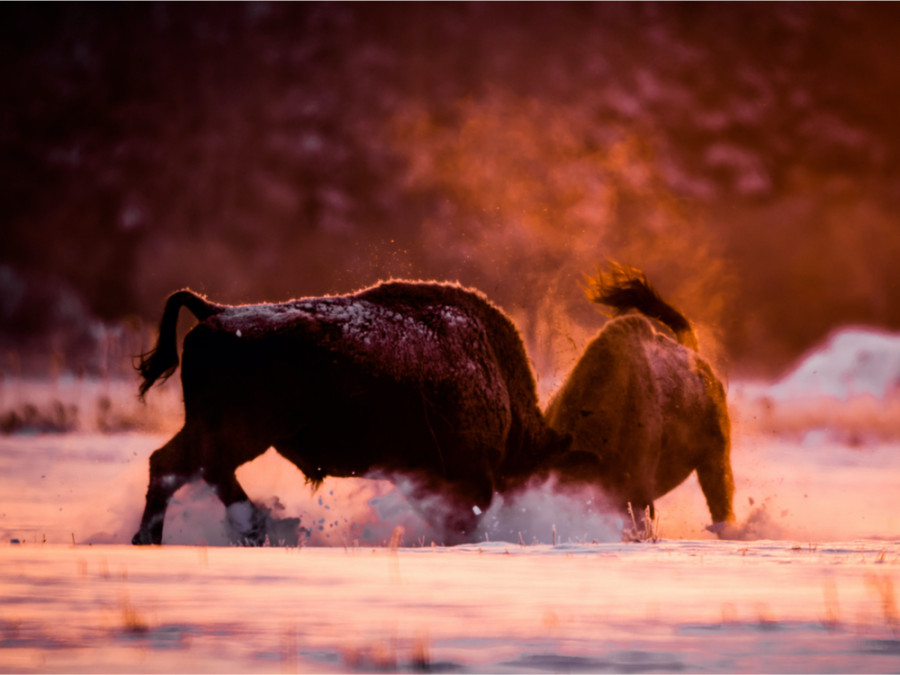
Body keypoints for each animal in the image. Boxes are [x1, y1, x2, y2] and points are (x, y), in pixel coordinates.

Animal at [130, 282, 568, 548]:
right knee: (190, 468)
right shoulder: (468, 474)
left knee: (182, 467)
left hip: (216, 429)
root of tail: (213, 311)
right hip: (242, 432)